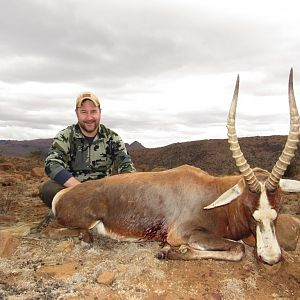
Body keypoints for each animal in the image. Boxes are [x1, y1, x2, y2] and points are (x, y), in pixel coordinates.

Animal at [52, 68, 300, 264]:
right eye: (249, 208)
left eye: (279, 207)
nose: (270, 258)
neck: (213, 195)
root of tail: (62, 195)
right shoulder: (184, 232)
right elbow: (238, 249)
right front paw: (168, 251)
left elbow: (240, 245)